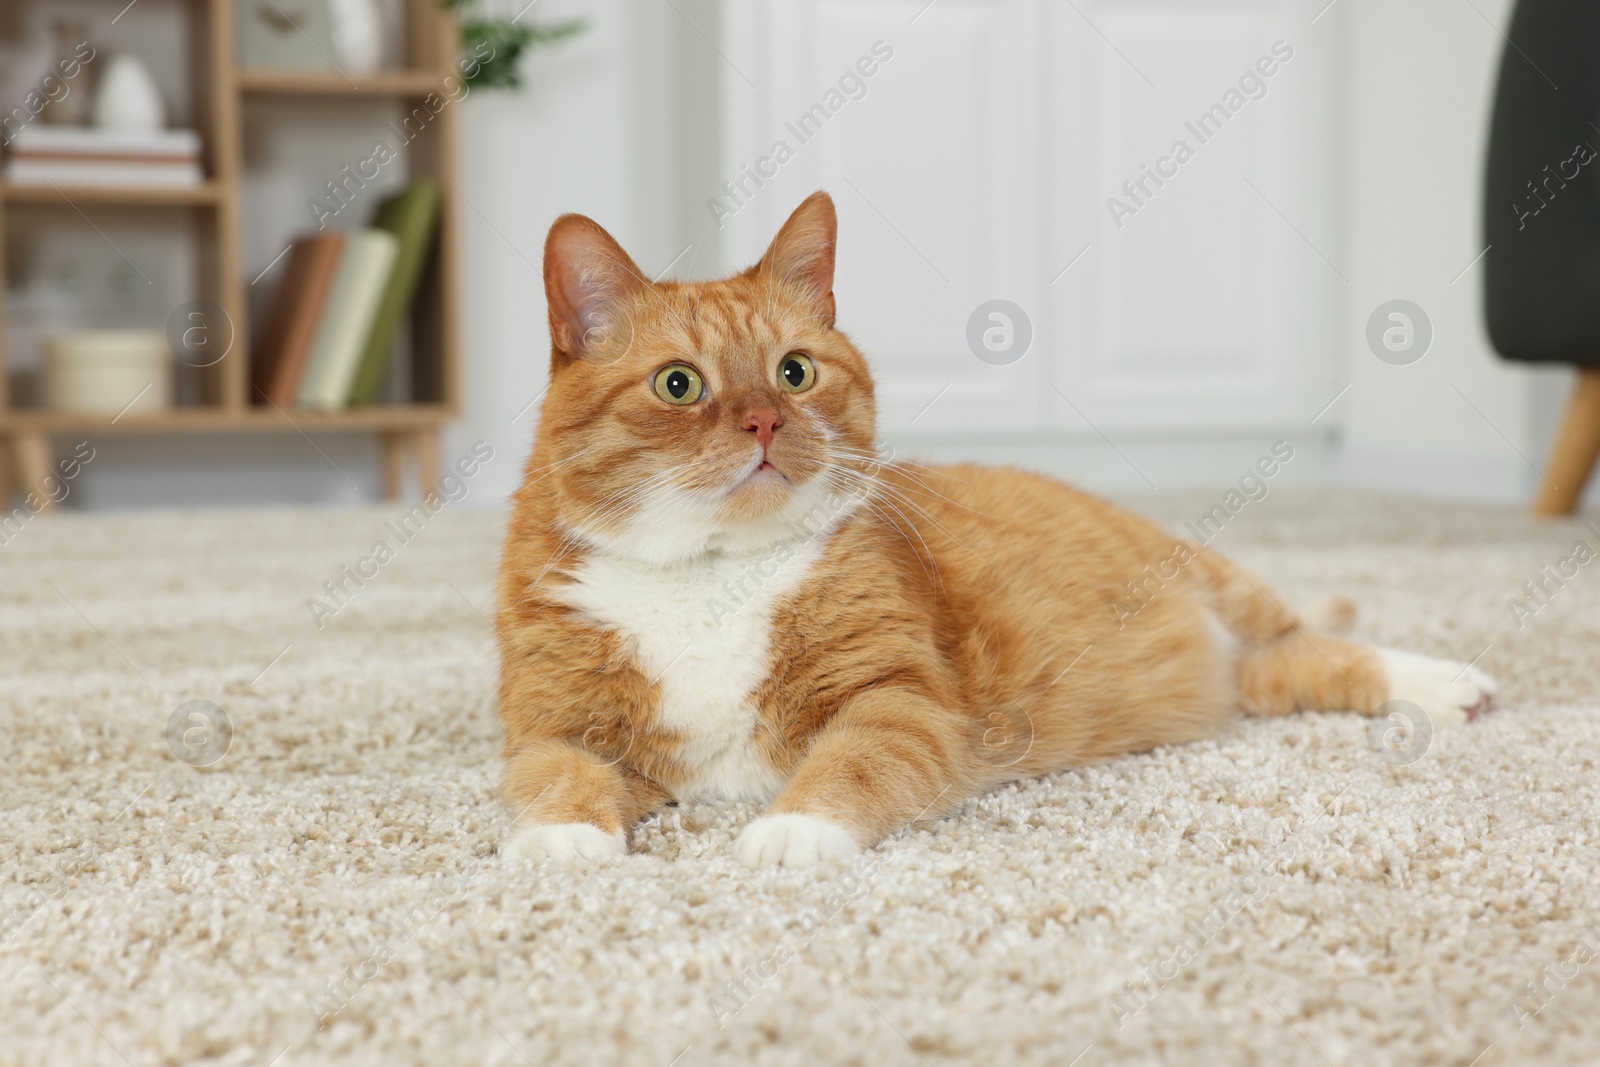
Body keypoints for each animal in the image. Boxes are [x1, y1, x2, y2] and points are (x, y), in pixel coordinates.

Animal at [499, 195, 1497, 870]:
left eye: (794, 371)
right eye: (679, 385)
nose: (764, 422)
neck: (710, 575)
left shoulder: (901, 699)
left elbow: (852, 763)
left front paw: (792, 827)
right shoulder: (549, 725)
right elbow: (556, 776)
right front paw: (565, 841)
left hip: (1224, 585)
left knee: (1320, 643)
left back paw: (1446, 684)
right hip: (1238, 677)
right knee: (1291, 667)